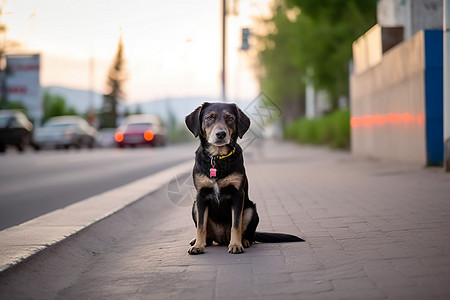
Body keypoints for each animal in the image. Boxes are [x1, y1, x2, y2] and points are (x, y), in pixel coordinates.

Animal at [185, 102, 304, 254]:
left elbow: (236, 224)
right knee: (207, 233)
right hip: (194, 207)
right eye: (209, 117)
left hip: (251, 210)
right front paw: (198, 246)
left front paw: (236, 245)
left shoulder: (237, 195)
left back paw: (245, 241)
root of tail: (222, 238)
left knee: (248, 233)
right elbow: (201, 226)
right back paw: (199, 241)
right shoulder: (201, 196)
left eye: (230, 118)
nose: (221, 134)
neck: (218, 159)